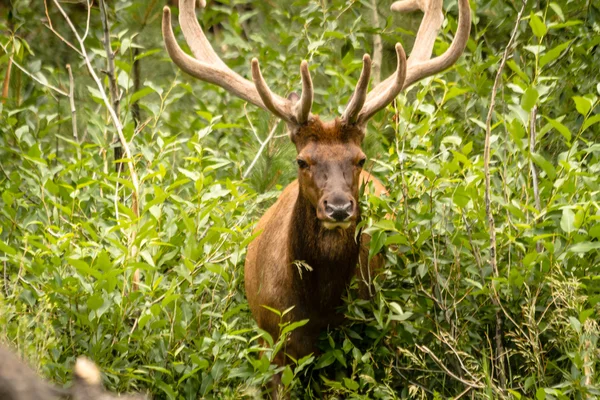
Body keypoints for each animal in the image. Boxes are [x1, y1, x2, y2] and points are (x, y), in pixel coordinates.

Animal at [162, 0, 472, 396]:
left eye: (360, 159)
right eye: (302, 160)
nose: (338, 207)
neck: (318, 307)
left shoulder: (369, 336)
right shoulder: (273, 340)